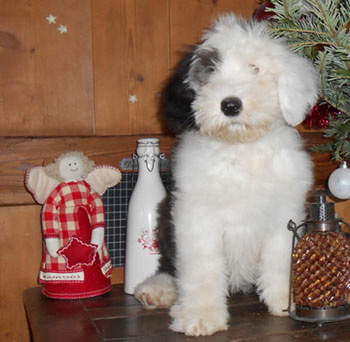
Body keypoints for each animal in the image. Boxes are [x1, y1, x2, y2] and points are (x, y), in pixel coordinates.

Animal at [135, 14, 320, 336]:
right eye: (210, 71)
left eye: (254, 68)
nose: (230, 104)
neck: (240, 150)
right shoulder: (196, 216)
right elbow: (202, 268)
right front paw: (201, 315)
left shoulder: (283, 213)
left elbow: (280, 259)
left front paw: (285, 301)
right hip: (165, 221)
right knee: (169, 267)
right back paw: (159, 291)